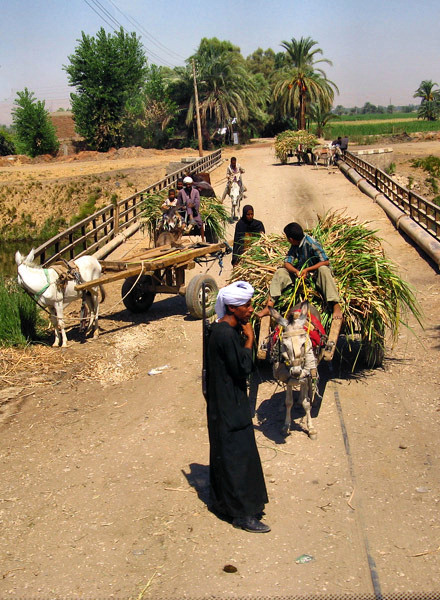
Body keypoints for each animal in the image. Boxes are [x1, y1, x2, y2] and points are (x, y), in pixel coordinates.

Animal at [268, 302, 320, 438]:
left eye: (303, 344)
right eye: (285, 345)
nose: (296, 372)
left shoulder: (304, 374)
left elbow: (306, 404)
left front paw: (311, 428)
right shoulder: (288, 378)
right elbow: (288, 402)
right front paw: (286, 426)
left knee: (309, 384)